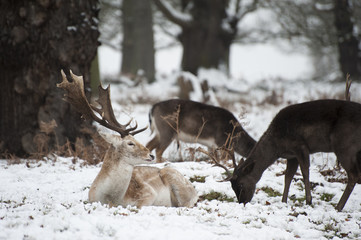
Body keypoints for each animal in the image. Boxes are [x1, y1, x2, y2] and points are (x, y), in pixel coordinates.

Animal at [57, 70, 197, 208]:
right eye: (130, 143)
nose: (150, 155)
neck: (112, 199)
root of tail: (194, 190)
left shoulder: (149, 193)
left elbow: (139, 205)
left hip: (176, 180)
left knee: (185, 204)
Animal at [229, 99, 360, 212]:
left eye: (241, 184)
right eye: (232, 186)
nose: (242, 202)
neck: (277, 146)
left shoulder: (300, 146)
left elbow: (305, 173)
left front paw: (308, 201)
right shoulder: (292, 156)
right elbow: (288, 176)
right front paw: (283, 201)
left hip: (344, 145)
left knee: (354, 175)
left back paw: (338, 207)